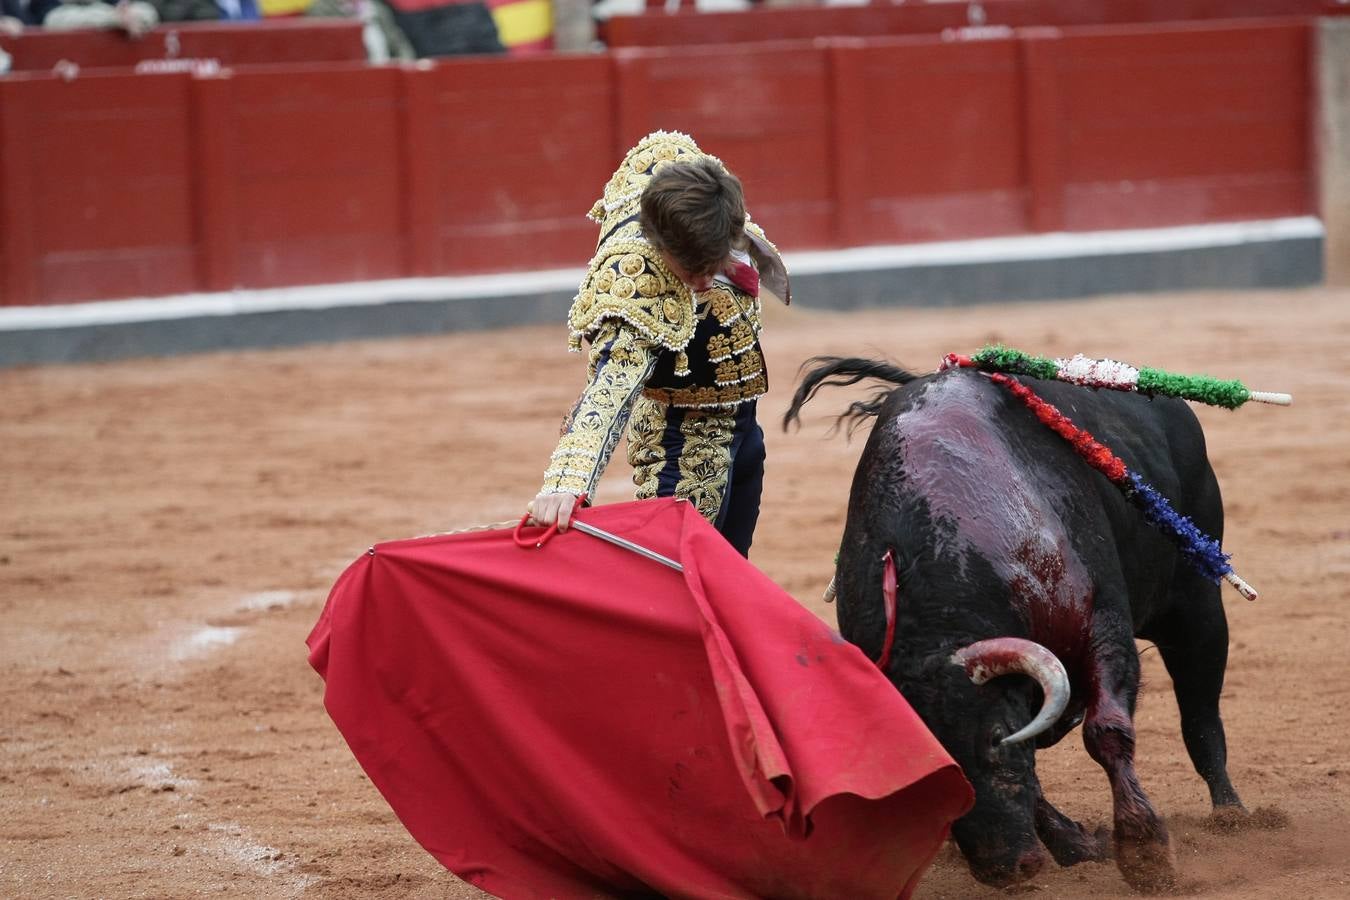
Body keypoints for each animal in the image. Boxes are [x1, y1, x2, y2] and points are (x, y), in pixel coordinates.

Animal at [788, 356, 1247, 895]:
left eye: (995, 736)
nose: (1005, 869)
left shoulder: (1104, 628)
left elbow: (1106, 731)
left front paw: (1145, 852)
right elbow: (1036, 770)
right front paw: (1080, 845)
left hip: (1196, 607)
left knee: (1200, 710)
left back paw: (1234, 814)